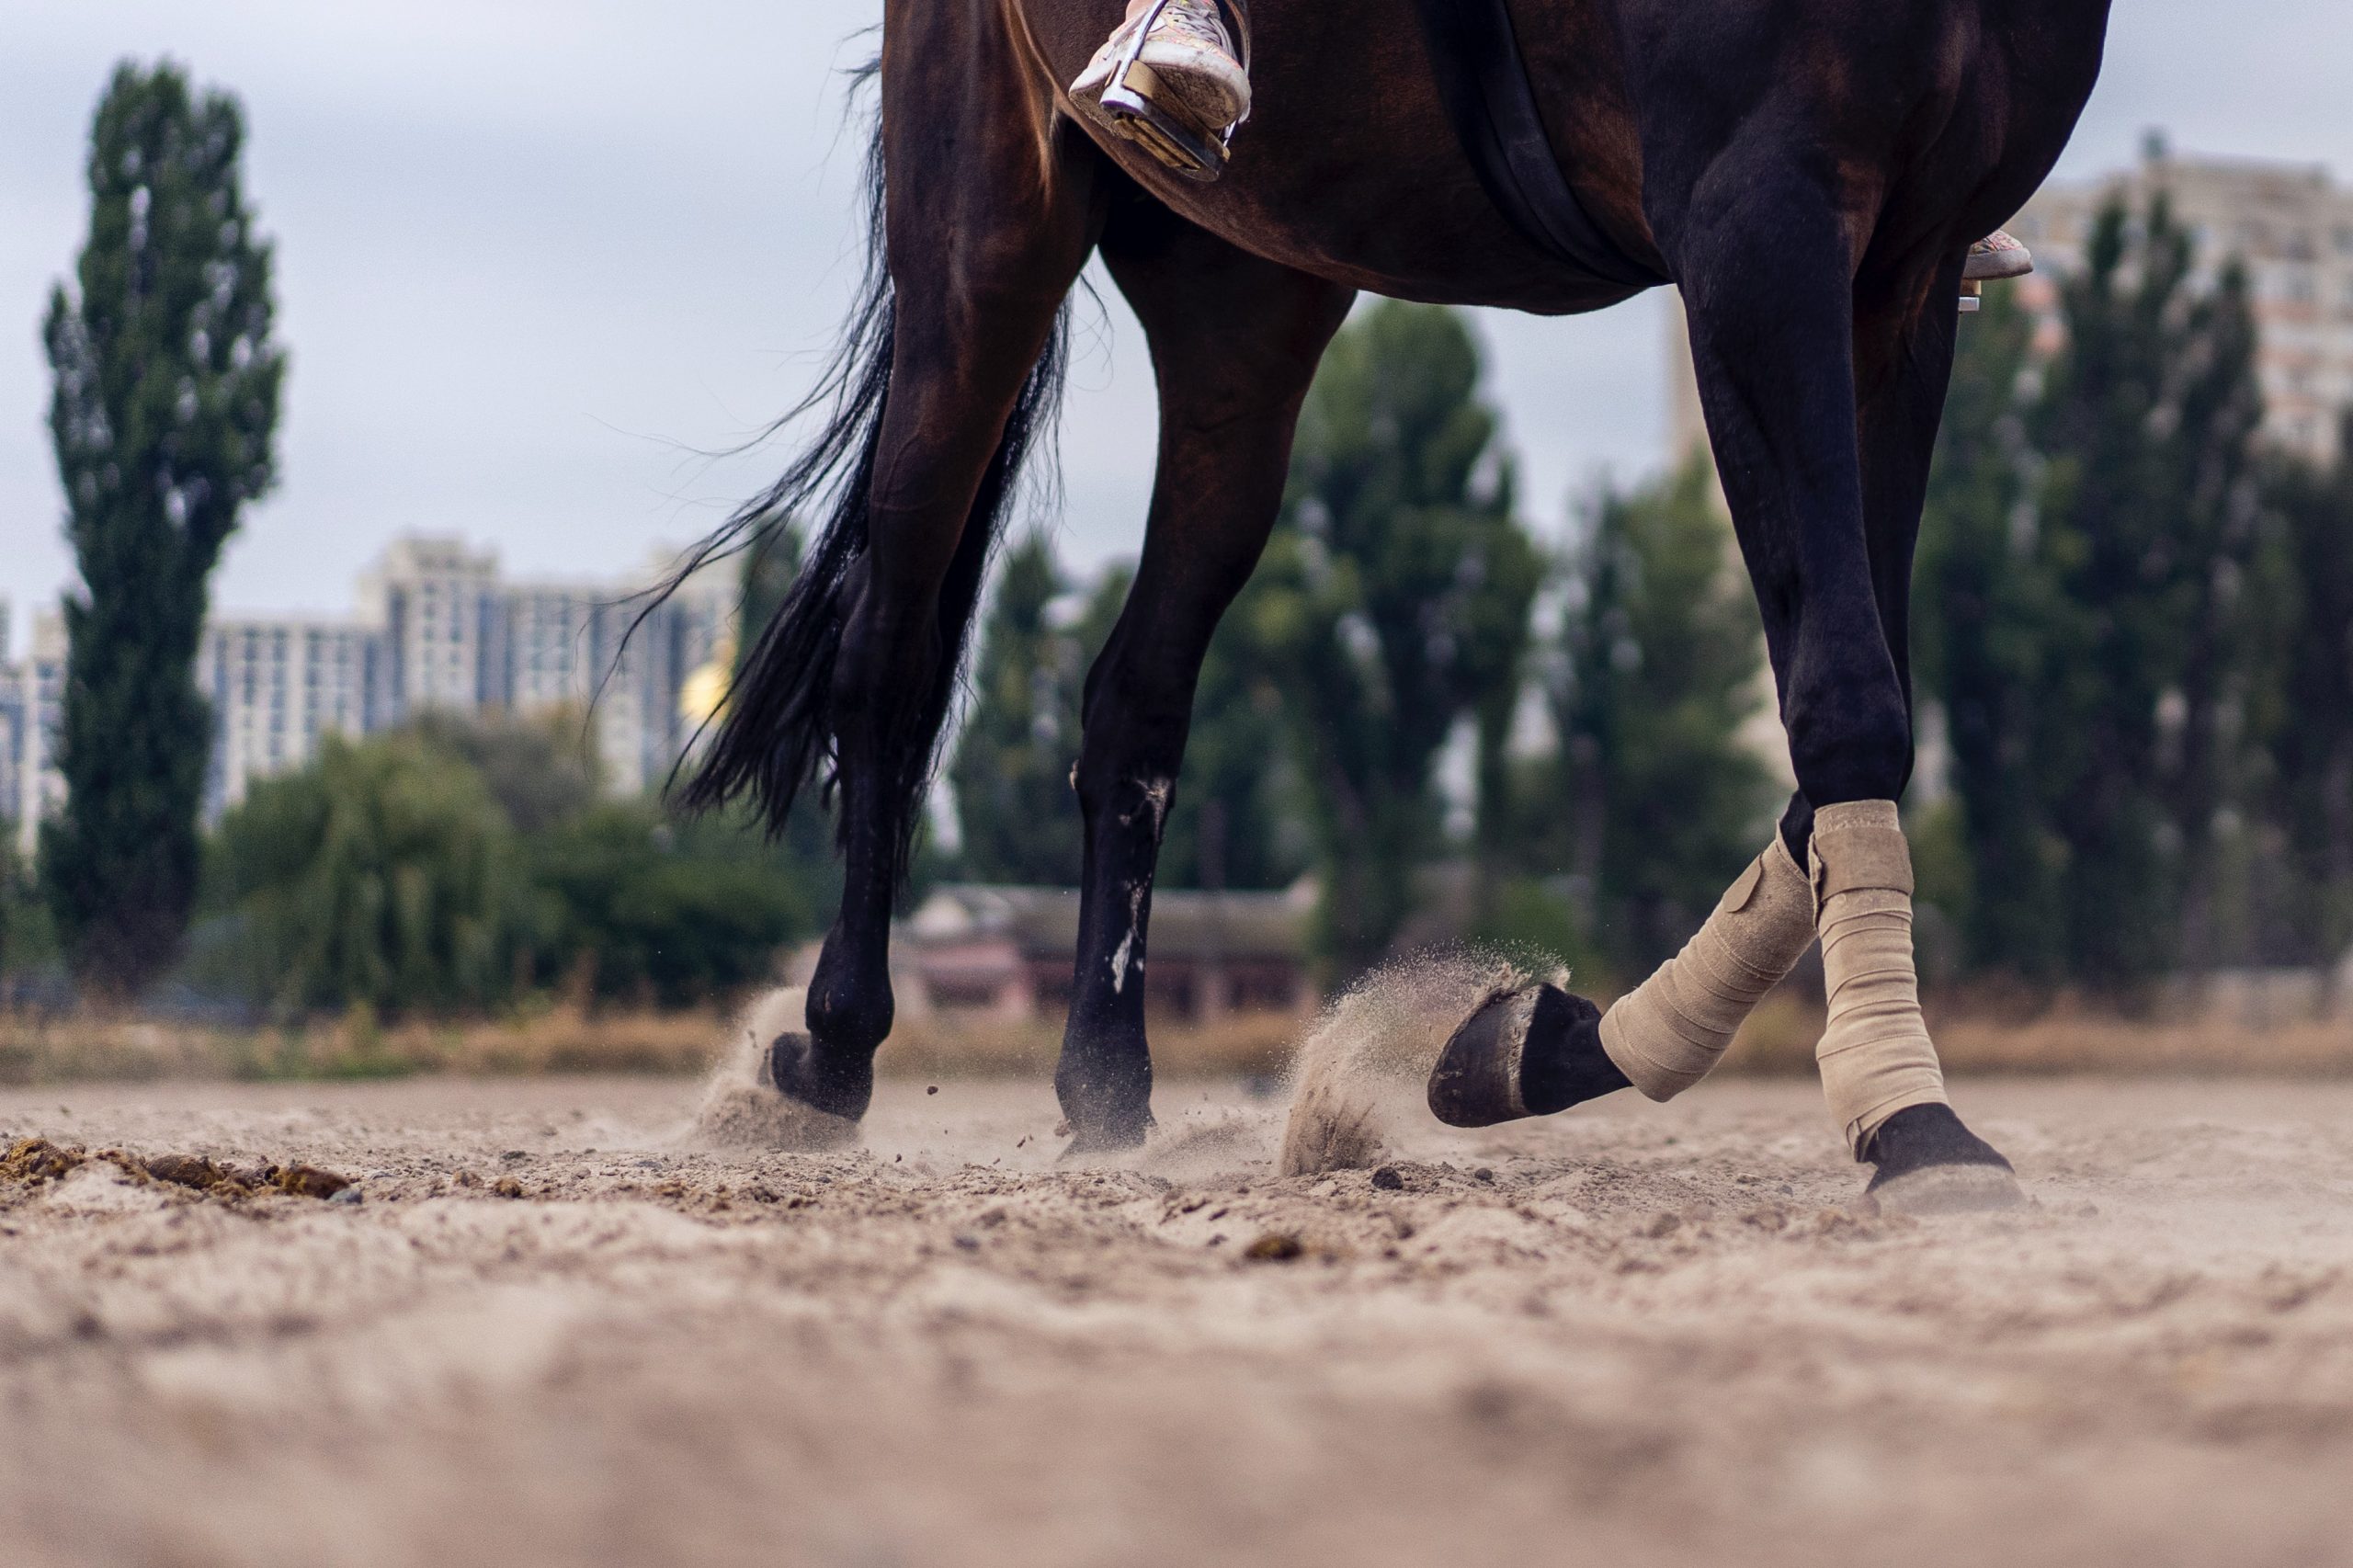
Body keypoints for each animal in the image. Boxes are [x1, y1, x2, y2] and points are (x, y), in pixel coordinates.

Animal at [663, 0, 2118, 1196]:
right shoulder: (1758, 216)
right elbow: (1847, 693)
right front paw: (1912, 1122)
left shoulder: (1905, 267)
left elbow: (1854, 703)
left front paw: (1542, 1043)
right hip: (987, 241)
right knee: (890, 645)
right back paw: (830, 1052)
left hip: (1245, 294)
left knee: (1134, 693)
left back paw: (1108, 1086)